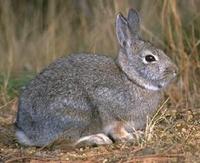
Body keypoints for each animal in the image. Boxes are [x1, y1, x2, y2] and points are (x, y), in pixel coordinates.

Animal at [16, 8, 178, 146]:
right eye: (150, 58)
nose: (175, 71)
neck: (131, 79)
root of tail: (28, 133)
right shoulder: (110, 111)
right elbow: (116, 129)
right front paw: (130, 137)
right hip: (77, 114)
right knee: (63, 142)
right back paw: (97, 139)